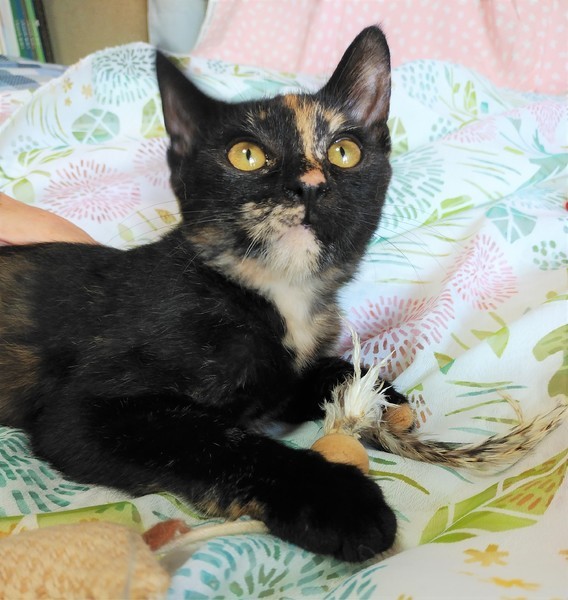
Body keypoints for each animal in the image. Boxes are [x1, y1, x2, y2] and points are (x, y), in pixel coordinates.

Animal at [0, 26, 409, 562]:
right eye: (246, 155)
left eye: (344, 152)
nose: (311, 185)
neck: (278, 294)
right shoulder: (80, 414)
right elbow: (215, 441)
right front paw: (337, 500)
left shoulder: (279, 380)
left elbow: (310, 377)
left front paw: (383, 394)